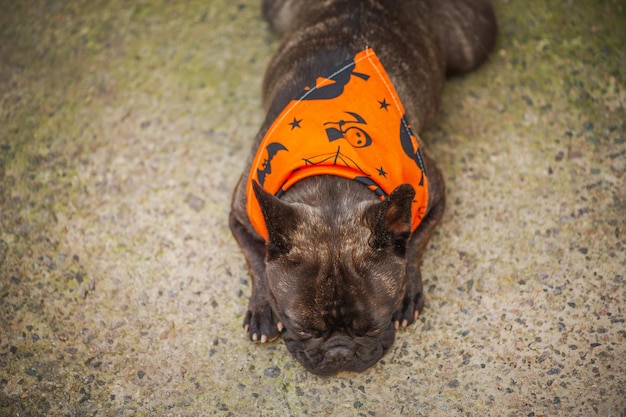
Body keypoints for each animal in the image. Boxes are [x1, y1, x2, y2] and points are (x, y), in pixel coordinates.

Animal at [227, 0, 494, 376]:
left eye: (373, 326)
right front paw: (263, 309)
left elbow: (414, 243)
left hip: (472, 44)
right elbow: (256, 259)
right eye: (302, 329)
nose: (340, 354)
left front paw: (407, 289)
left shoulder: (437, 194)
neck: (332, 175)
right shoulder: (239, 214)